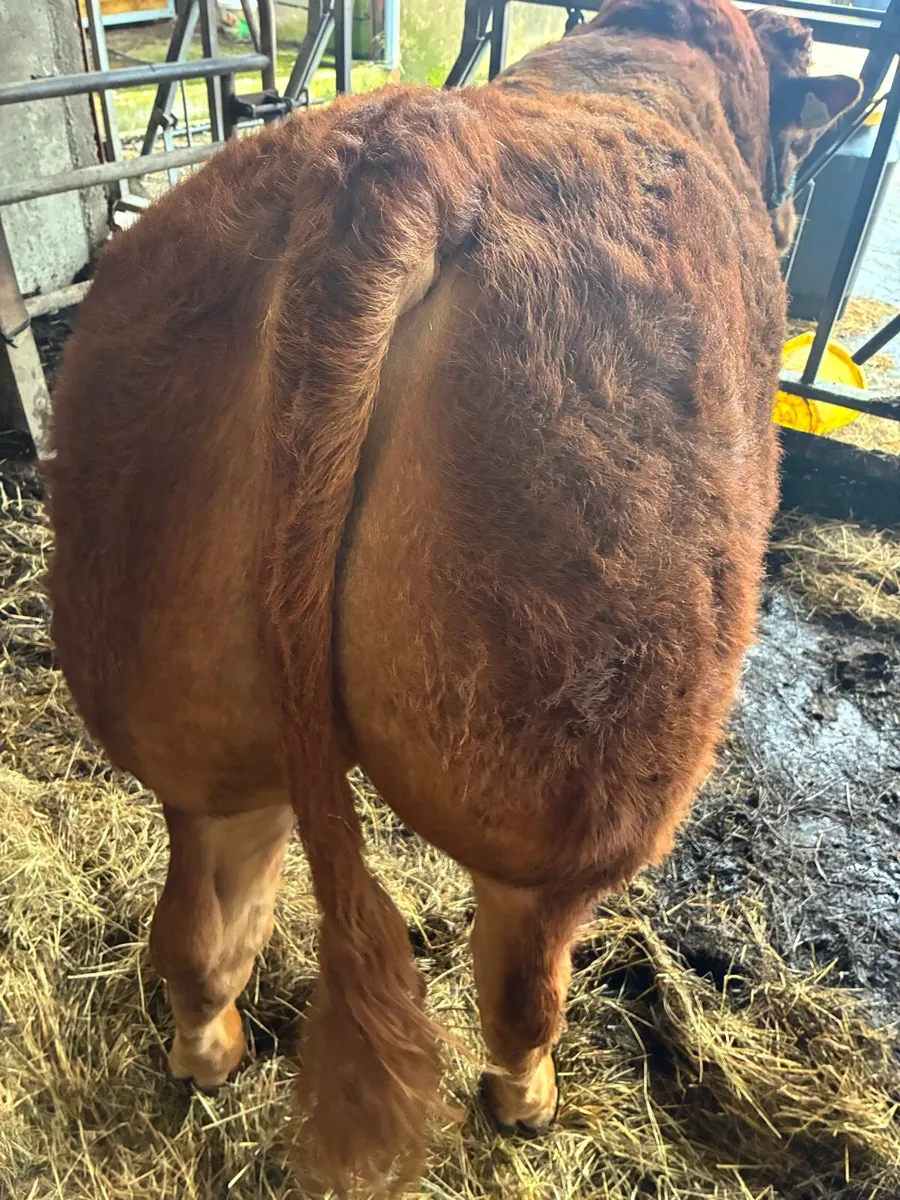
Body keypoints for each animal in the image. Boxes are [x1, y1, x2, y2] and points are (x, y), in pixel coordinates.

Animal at [46, 0, 859, 1193]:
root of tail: (410, 161)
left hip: (191, 718)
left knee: (203, 927)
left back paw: (211, 1054)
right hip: (578, 763)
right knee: (523, 975)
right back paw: (527, 1102)